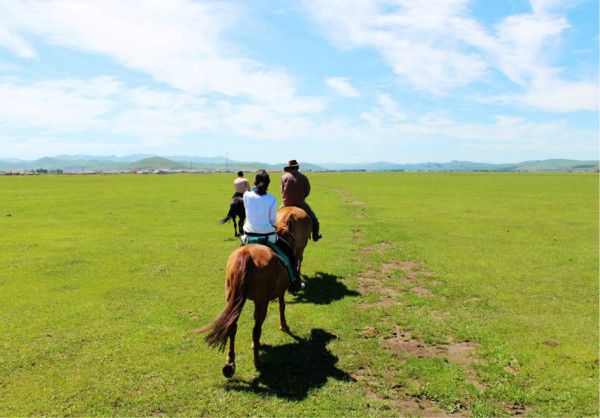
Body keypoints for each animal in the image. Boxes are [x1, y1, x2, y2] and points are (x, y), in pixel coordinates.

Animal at [203, 205, 312, 376]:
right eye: (291, 238)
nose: (296, 248)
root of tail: (247, 255)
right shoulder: (280, 292)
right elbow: (282, 306)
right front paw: (284, 325)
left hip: (233, 298)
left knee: (232, 326)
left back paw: (230, 363)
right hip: (261, 302)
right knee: (256, 330)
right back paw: (257, 360)